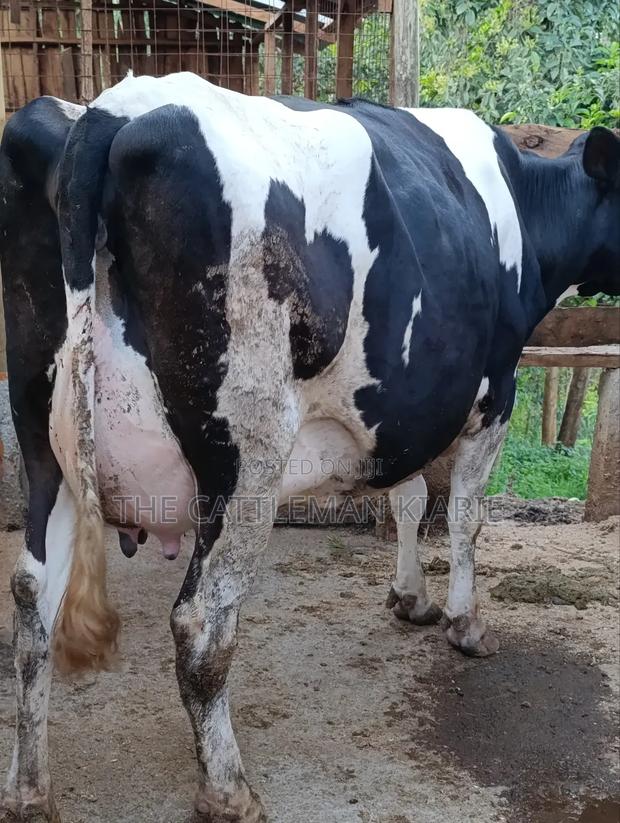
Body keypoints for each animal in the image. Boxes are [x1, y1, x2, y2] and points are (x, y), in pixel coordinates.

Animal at [0, 72, 618, 823]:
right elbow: (465, 517)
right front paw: (465, 624)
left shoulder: (395, 405)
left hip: (41, 438)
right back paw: (228, 790)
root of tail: (110, 112)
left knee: (34, 601)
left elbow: (408, 497)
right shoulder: (494, 389)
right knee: (201, 620)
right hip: (247, 454)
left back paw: (29, 789)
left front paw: (409, 596)